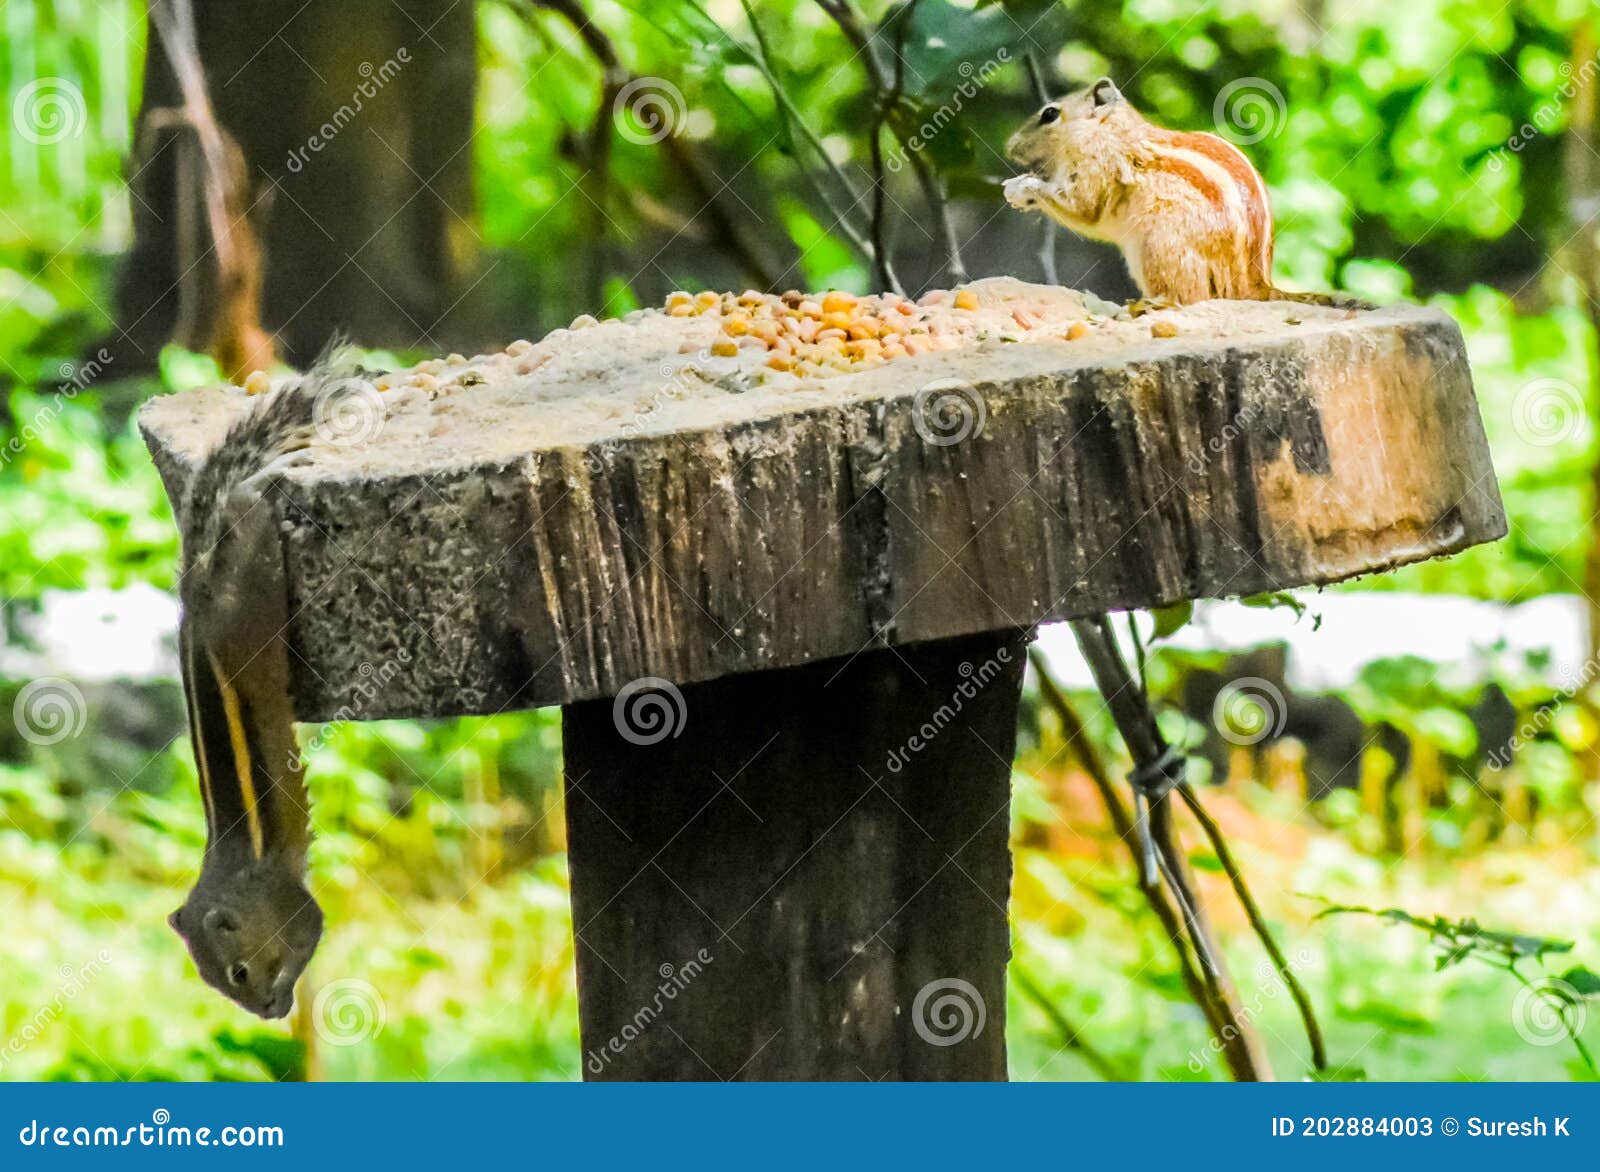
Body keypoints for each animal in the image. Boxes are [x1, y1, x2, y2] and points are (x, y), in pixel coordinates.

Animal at [167, 371, 336, 1018]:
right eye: (218, 984)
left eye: (238, 972)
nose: (266, 1012)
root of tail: (197, 583)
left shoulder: (293, 903)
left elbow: (313, 927)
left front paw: (288, 989)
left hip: (253, 589)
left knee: (249, 514)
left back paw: (267, 488)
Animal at [1004, 78, 1345, 307]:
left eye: (1049, 114)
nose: (1009, 147)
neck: (1107, 131)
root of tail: (1254, 285)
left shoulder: (1096, 170)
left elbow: (1083, 208)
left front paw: (1021, 188)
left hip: (1158, 246)